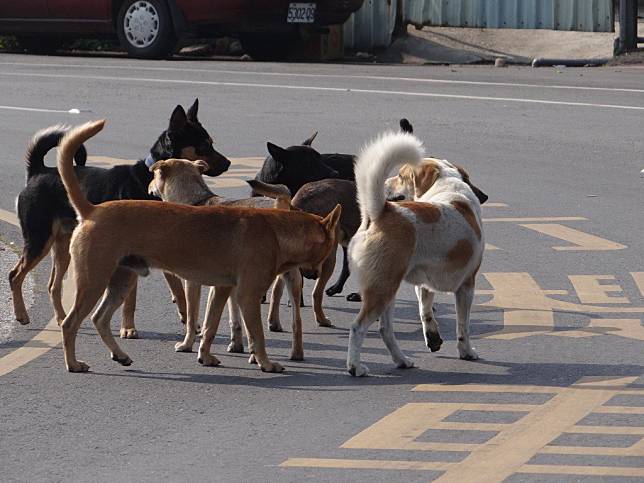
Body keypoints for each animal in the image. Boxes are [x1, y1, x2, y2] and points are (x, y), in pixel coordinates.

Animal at [10, 99, 231, 336]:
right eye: (204, 145)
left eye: (211, 142)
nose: (228, 163)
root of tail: (38, 171)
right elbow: (131, 300)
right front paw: (128, 328)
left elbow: (177, 287)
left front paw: (187, 317)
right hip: (39, 240)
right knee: (15, 275)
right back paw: (22, 315)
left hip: (63, 246)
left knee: (53, 285)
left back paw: (60, 318)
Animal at [147, 159, 306, 360]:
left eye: (154, 175)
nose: (148, 187)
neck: (195, 201)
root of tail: (280, 206)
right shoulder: (229, 284)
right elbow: (233, 317)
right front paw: (235, 344)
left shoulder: (192, 283)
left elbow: (192, 317)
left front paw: (187, 344)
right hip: (292, 279)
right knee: (297, 321)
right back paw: (296, 353)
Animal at [348, 133, 488, 378]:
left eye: (401, 176)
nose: (387, 183)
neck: (448, 187)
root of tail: (381, 212)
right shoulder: (466, 286)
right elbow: (463, 325)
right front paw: (467, 352)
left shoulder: (424, 284)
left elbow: (425, 312)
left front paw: (432, 338)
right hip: (382, 290)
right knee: (358, 327)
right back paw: (355, 367)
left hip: (387, 290)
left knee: (385, 329)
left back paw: (402, 360)